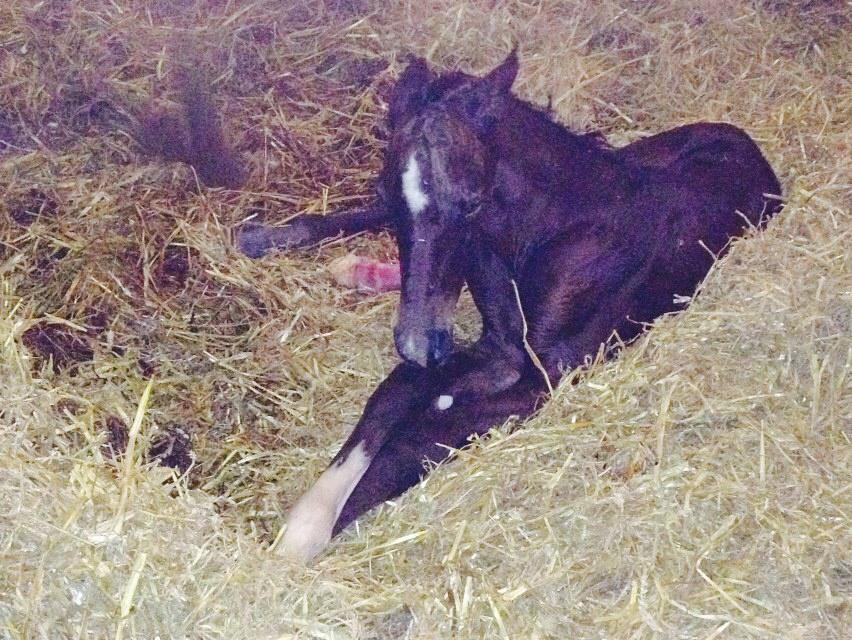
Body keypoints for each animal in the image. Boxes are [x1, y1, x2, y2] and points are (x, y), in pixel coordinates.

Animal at [243, 51, 784, 560]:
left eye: (471, 202)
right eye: (393, 197)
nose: (419, 342)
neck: (545, 232)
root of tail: (742, 140)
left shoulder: (543, 376)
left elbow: (424, 429)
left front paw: (312, 538)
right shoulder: (495, 345)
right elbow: (393, 397)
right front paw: (304, 527)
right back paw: (268, 238)